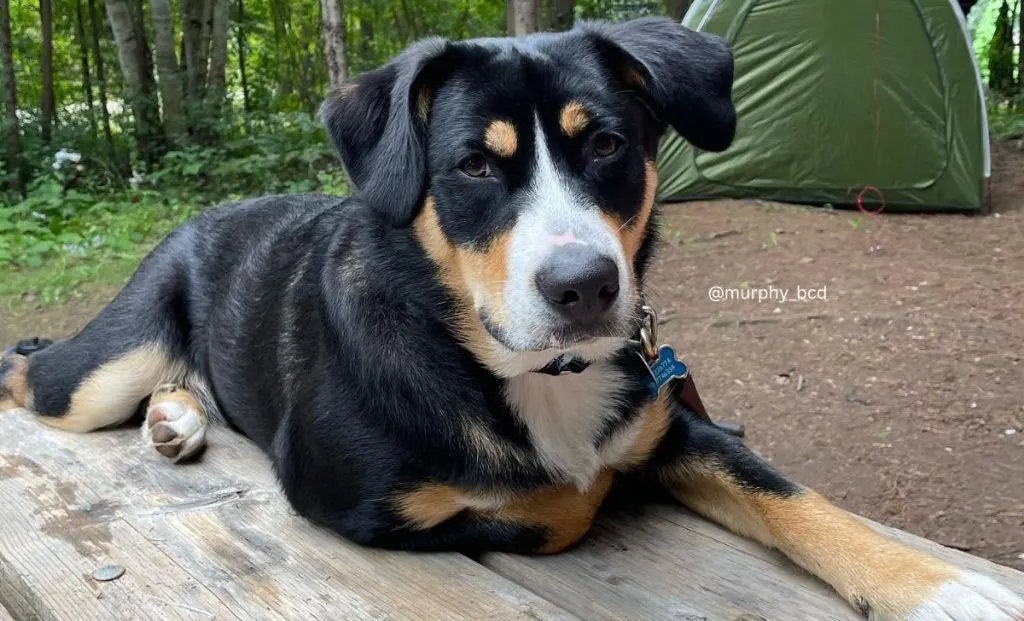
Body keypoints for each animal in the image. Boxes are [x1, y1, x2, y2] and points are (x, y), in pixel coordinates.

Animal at [2, 17, 1024, 618]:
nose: (584, 286)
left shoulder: (676, 418)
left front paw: (940, 584)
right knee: (29, 364)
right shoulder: (353, 497)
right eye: (473, 166)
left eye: (606, 143)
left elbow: (791, 493)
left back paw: (180, 416)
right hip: (101, 369)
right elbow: (562, 500)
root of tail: (200, 218)